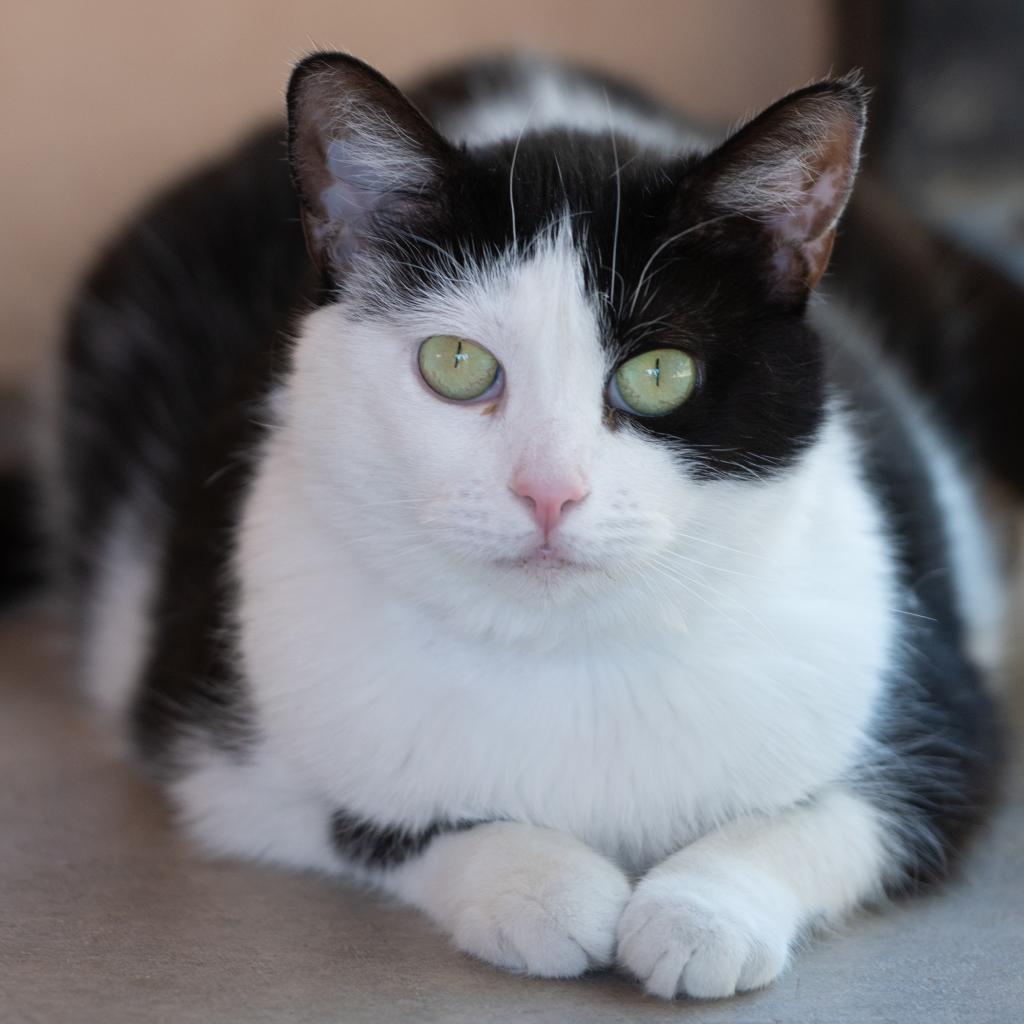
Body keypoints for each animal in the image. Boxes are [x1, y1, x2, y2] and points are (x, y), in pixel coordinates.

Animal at [44, 51, 1003, 995]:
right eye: (456, 362)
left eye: (660, 374)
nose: (549, 491)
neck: (567, 652)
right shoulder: (217, 756)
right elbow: (374, 816)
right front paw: (543, 886)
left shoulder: (945, 719)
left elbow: (838, 815)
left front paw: (699, 911)